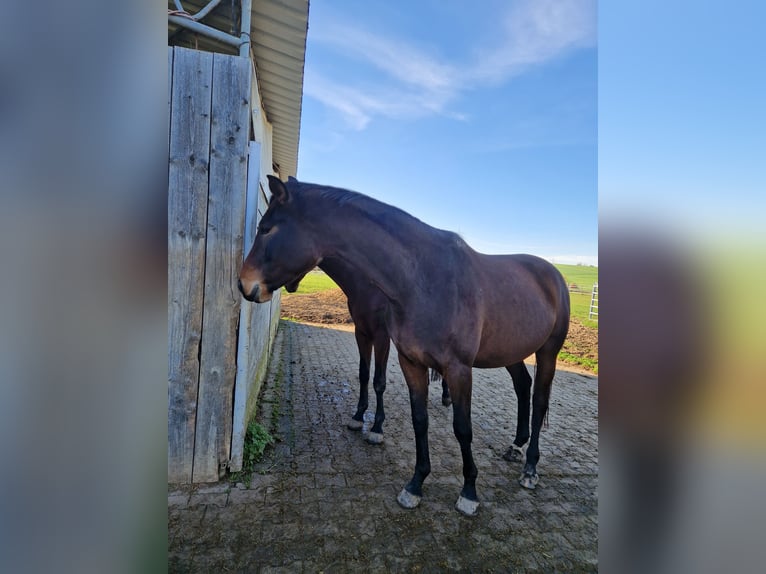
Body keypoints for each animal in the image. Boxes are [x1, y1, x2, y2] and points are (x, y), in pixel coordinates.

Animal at [240, 177, 568, 516]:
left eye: (266, 229)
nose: (244, 284)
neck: (421, 280)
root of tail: (553, 275)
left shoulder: (455, 368)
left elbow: (461, 427)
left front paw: (468, 491)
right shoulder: (406, 359)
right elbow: (416, 418)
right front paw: (415, 484)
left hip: (548, 352)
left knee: (539, 400)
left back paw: (530, 468)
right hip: (511, 351)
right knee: (523, 386)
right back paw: (516, 446)